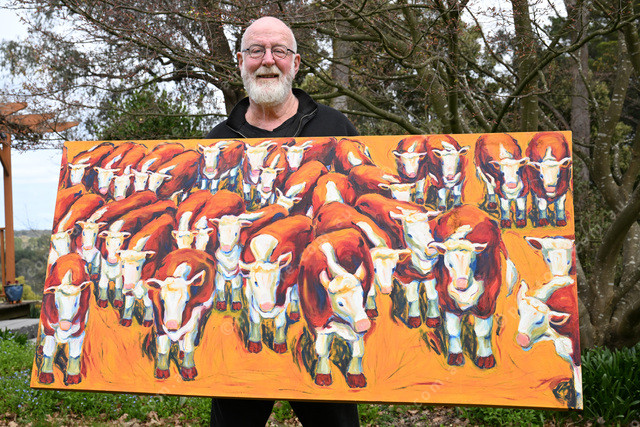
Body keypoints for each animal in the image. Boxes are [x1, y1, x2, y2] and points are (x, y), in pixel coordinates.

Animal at [38, 253, 91, 385]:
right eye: (56, 302)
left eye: (76, 302)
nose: (65, 325)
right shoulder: (48, 326)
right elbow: (49, 351)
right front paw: (45, 376)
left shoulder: (79, 330)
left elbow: (75, 354)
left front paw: (73, 377)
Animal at [146, 248, 216, 380]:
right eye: (162, 300)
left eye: (186, 301)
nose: (172, 324)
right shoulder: (158, 318)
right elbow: (163, 347)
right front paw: (162, 370)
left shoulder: (194, 317)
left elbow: (189, 345)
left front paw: (188, 370)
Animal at [239, 215, 313, 353]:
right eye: (255, 282)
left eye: (277, 282)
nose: (267, 305)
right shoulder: (249, 293)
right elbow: (254, 319)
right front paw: (254, 343)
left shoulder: (284, 292)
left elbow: (280, 322)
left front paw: (280, 344)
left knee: (295, 293)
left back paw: (294, 313)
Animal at [298, 229, 373, 387]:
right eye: (340, 303)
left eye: (361, 296)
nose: (364, 324)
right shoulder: (318, 322)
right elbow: (322, 350)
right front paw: (323, 375)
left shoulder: (356, 324)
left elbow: (358, 351)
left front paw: (355, 375)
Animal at [429, 204, 517, 368]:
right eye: (449, 264)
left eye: (471, 262)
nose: (461, 283)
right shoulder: (447, 300)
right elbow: (453, 330)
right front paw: (455, 356)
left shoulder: (487, 300)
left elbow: (483, 332)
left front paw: (485, 358)